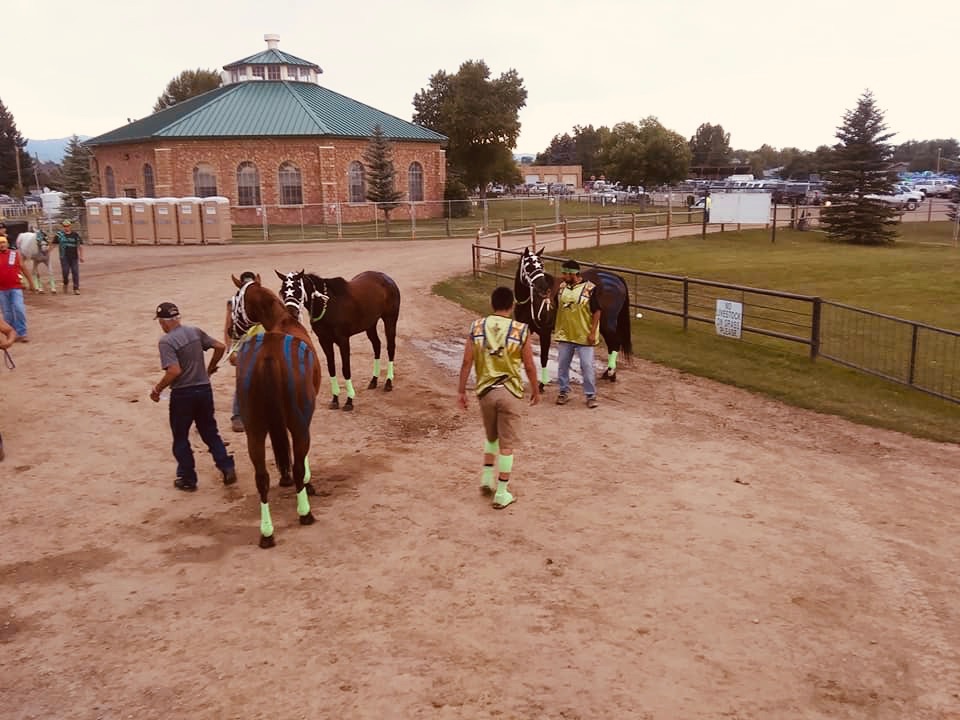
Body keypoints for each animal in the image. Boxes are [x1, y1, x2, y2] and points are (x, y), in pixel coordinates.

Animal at [231, 272, 324, 548]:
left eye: (236, 300)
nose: (231, 329)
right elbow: (299, 460)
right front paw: (305, 484)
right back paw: (305, 513)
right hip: (299, 422)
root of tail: (269, 355)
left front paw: (285, 478)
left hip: (254, 430)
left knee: (261, 477)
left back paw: (266, 532)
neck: (283, 320)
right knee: (298, 463)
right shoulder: (302, 421)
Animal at [276, 268, 400, 410]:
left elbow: (345, 369)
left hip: (390, 319)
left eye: (298, 289)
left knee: (390, 347)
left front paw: (349, 401)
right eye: (282, 291)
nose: (291, 314)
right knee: (377, 345)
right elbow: (331, 368)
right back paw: (374, 380)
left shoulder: (343, 340)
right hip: (370, 324)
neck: (329, 305)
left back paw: (388, 382)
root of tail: (387, 278)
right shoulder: (324, 341)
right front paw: (335, 399)